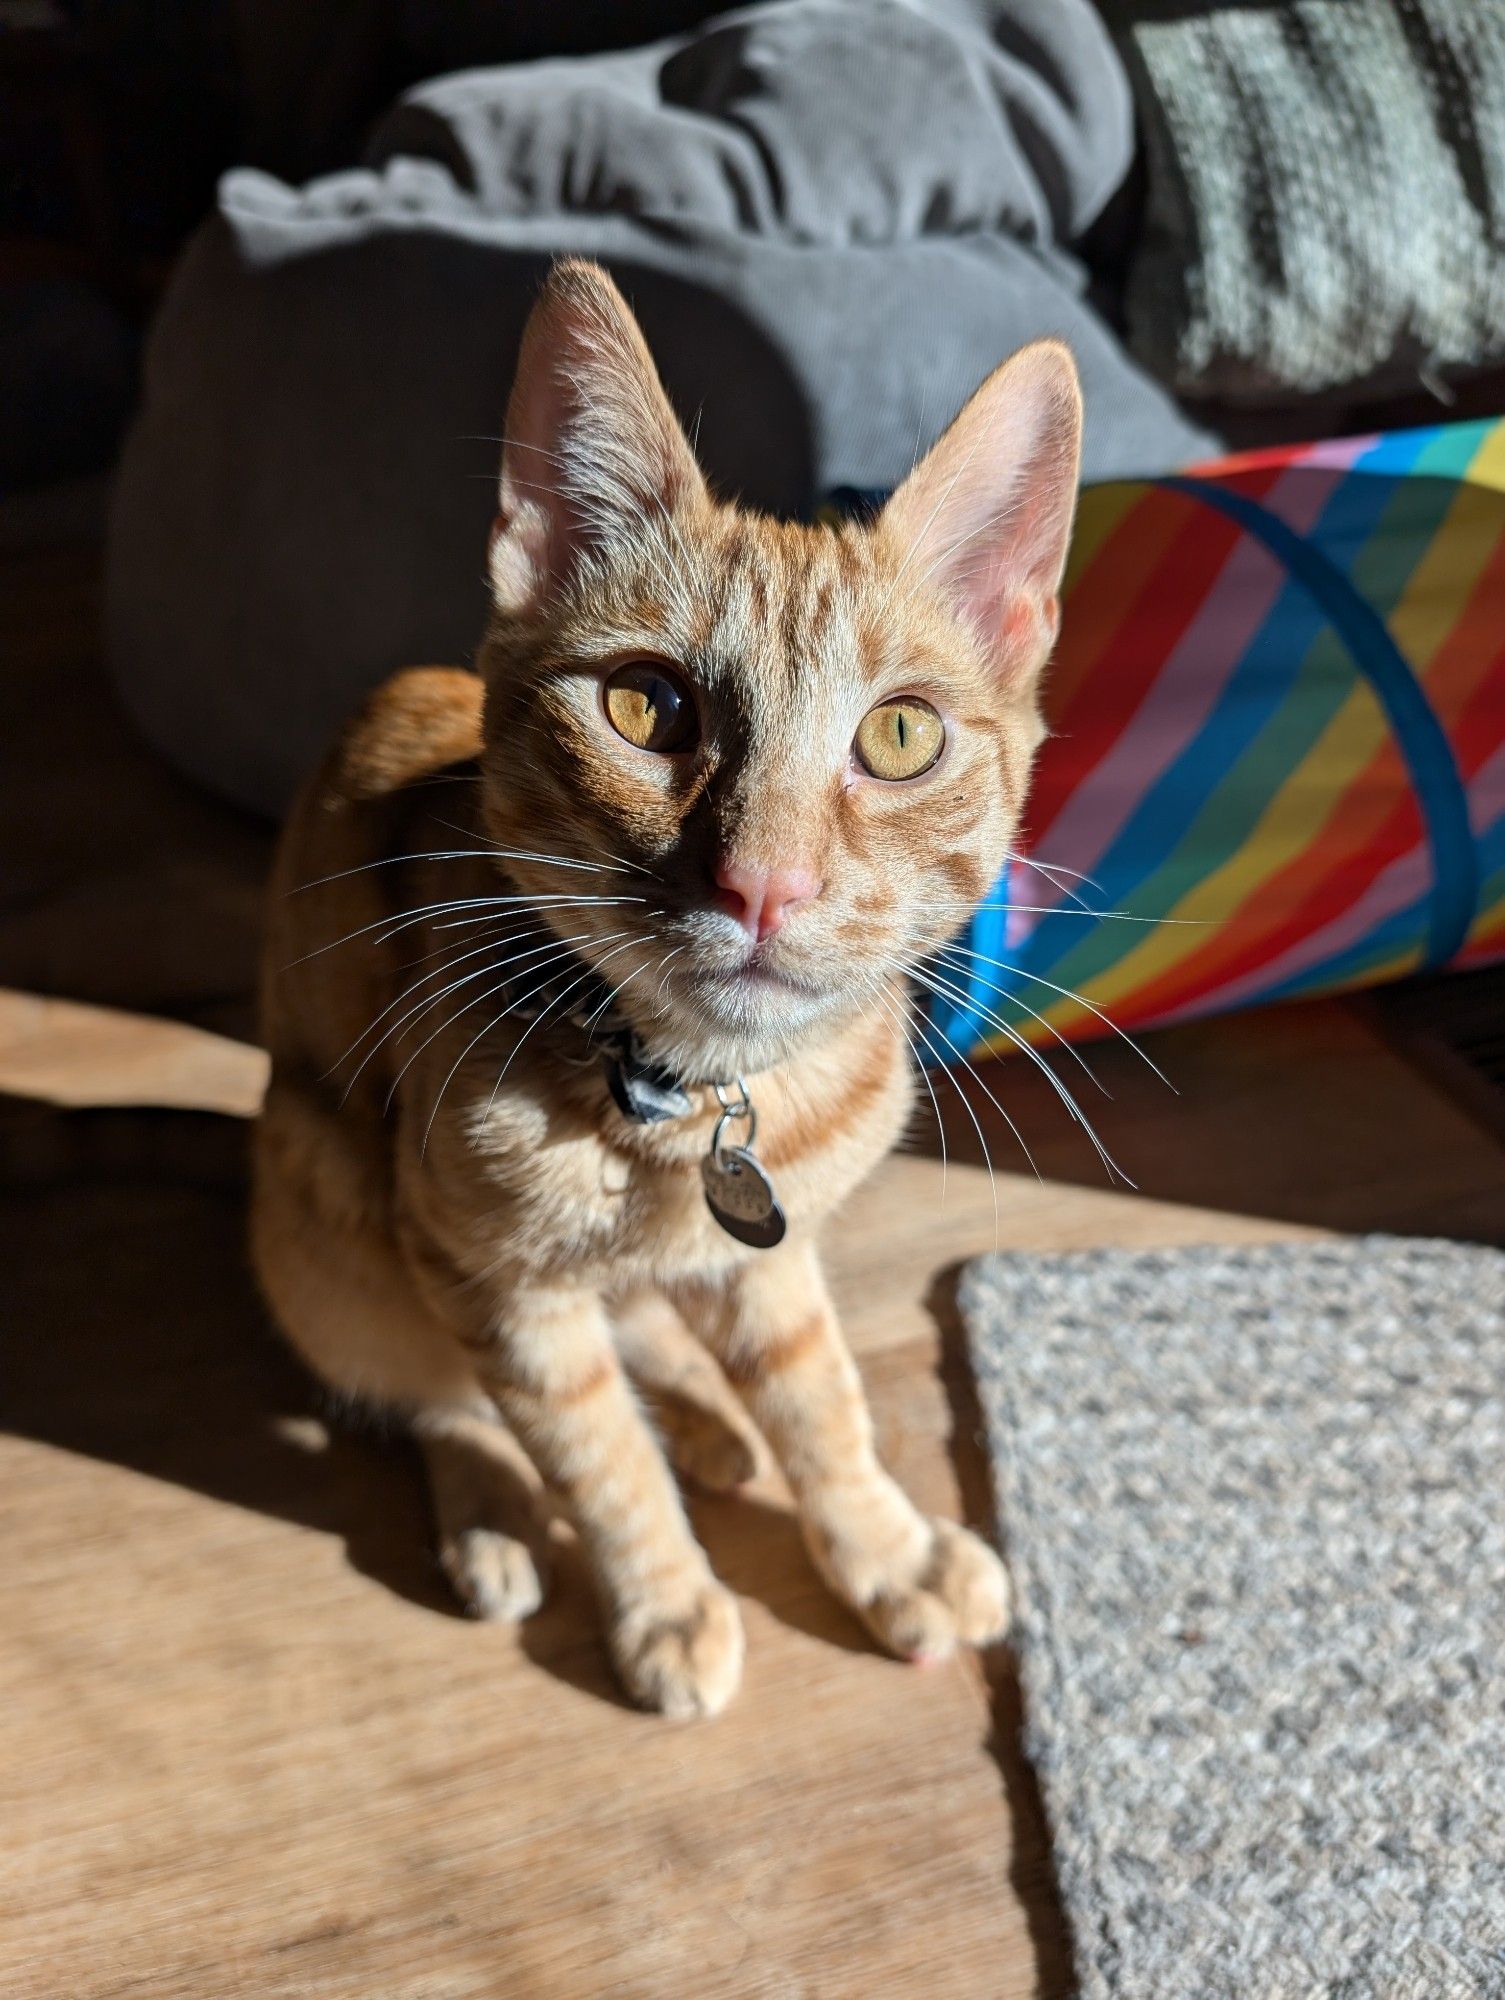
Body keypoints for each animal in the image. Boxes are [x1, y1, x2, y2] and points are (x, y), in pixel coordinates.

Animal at [250, 258, 1080, 1712]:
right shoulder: (485, 1278)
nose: (764, 884)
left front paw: (882, 1546)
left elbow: (820, 1398)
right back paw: (498, 1505)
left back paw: (701, 1408)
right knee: (435, 1389)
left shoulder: (777, 1247)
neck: (694, 1104)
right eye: (646, 706)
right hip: (326, 1201)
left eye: (899, 735)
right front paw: (663, 1598)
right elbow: (589, 1447)